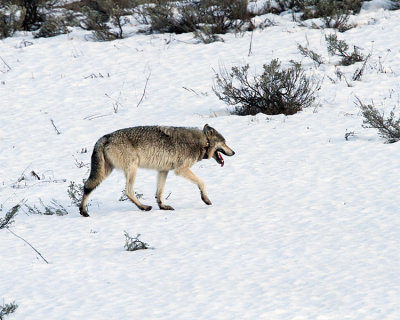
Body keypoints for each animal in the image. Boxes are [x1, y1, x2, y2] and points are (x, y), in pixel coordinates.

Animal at [79, 124, 234, 216]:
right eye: (225, 142)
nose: (234, 152)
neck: (202, 143)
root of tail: (105, 137)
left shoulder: (163, 171)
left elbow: (159, 193)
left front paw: (163, 207)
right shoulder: (181, 170)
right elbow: (202, 183)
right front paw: (205, 199)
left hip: (105, 173)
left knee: (86, 186)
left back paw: (83, 211)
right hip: (132, 169)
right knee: (128, 192)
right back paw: (144, 207)